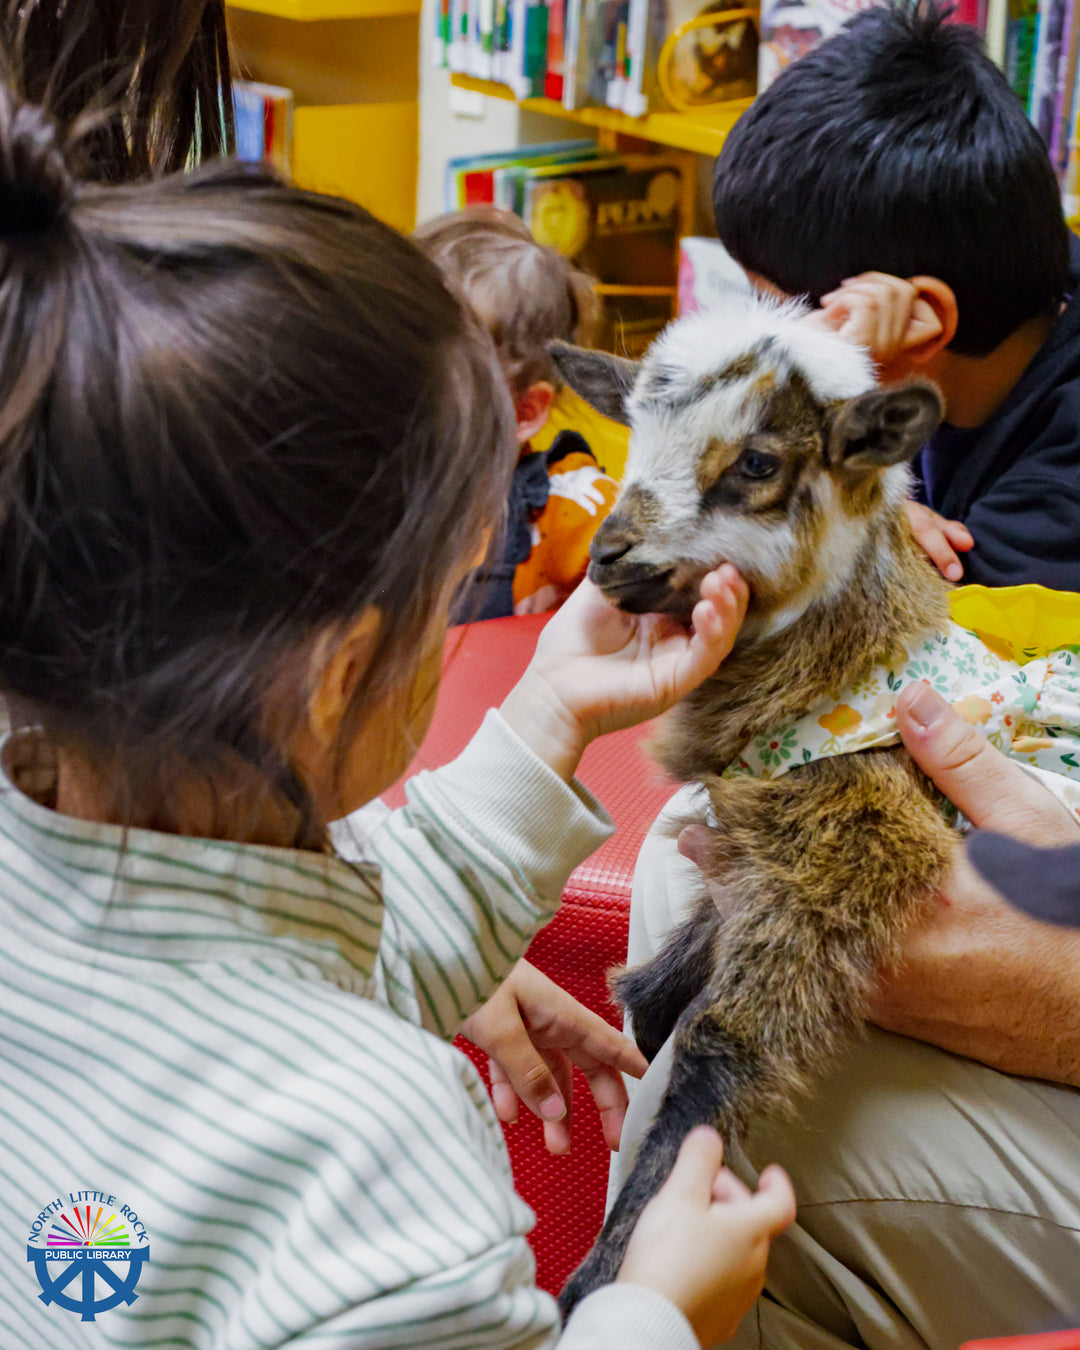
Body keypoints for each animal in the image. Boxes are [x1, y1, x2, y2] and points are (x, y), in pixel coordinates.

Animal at [553, 296, 973, 1314]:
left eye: (756, 463)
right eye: (633, 432)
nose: (607, 556)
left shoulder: (862, 834)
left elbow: (718, 1042)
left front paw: (610, 1271)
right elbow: (675, 969)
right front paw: (646, 1007)